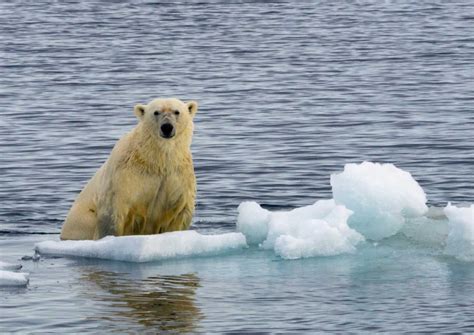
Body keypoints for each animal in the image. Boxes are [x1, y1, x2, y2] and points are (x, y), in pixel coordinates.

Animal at [61, 98, 198, 240]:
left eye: (177, 112)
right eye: (156, 112)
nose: (167, 127)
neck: (156, 160)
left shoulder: (178, 175)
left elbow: (180, 210)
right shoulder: (125, 176)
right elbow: (113, 211)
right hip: (82, 221)